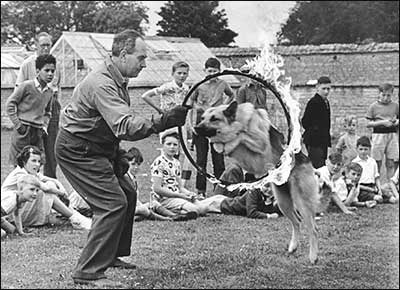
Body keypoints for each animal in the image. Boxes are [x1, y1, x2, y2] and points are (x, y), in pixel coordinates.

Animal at [195, 101, 320, 262]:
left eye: (214, 118)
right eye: (202, 118)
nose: (195, 127)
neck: (239, 120)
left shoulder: (260, 142)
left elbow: (240, 135)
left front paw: (231, 138)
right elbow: (226, 144)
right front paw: (222, 144)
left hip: (301, 201)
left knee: (313, 228)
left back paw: (313, 256)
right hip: (283, 202)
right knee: (297, 222)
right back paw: (293, 247)